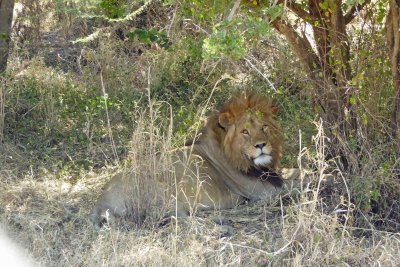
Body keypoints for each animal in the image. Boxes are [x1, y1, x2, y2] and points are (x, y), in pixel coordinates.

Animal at [90, 91, 296, 227]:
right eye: (245, 132)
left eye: (264, 127)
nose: (261, 145)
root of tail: (100, 201)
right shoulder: (261, 190)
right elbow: (297, 182)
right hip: (163, 191)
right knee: (178, 217)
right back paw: (218, 220)